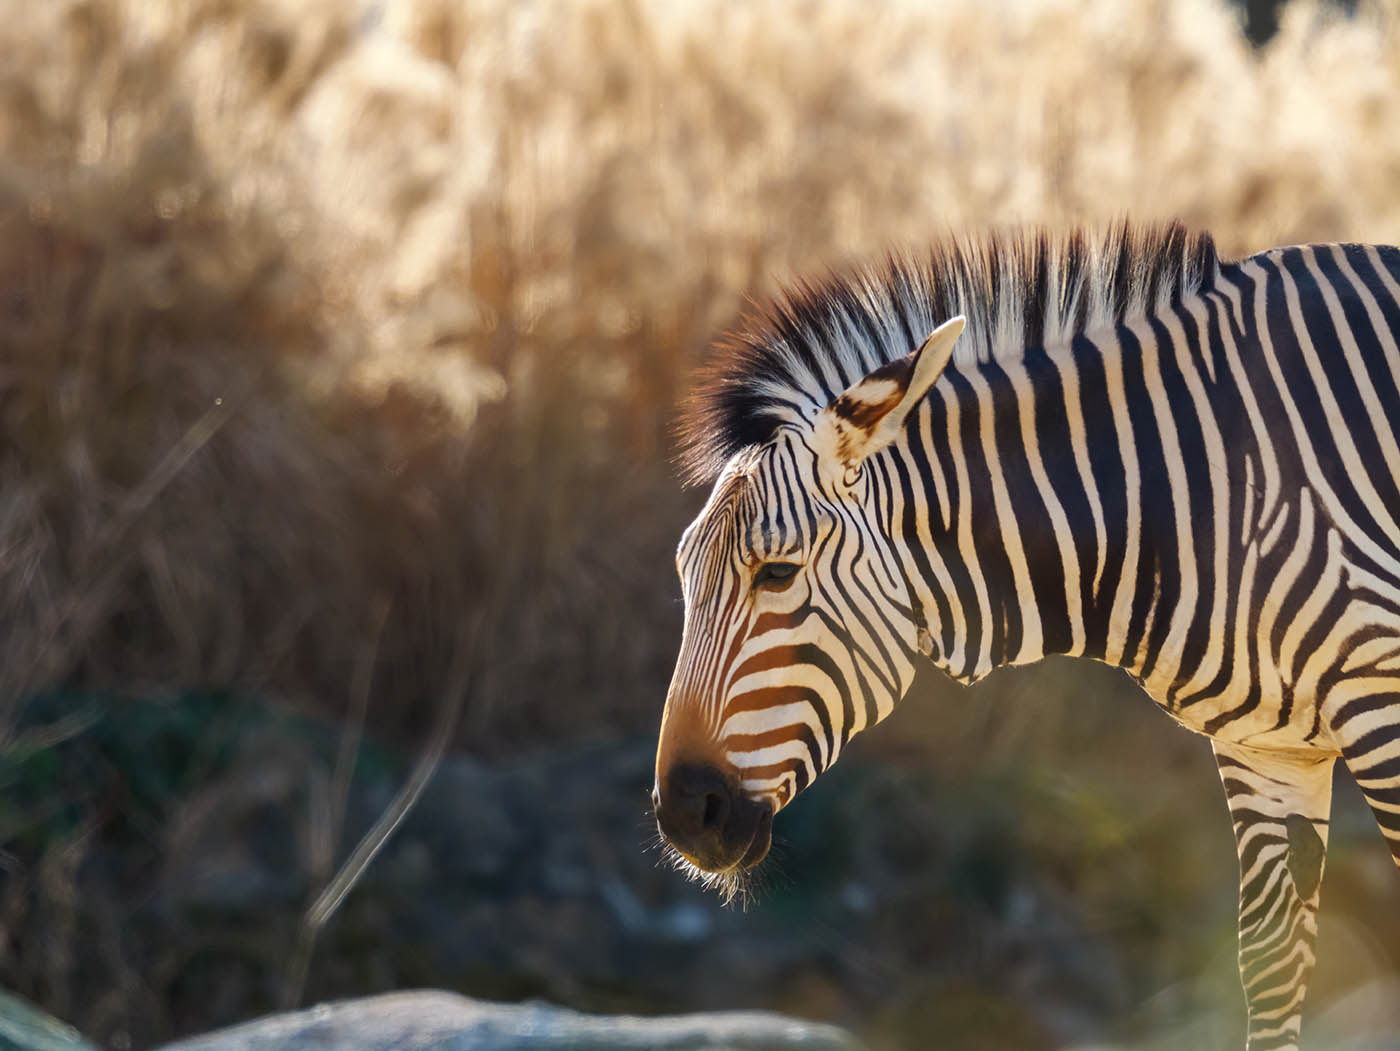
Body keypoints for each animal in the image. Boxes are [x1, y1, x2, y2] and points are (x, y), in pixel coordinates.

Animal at [649, 226, 1400, 1051]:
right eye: (684, 571)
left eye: (777, 573)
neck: (1201, 488)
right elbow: (1270, 966)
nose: (683, 813)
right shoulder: (1264, 747)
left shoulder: (1379, 707)